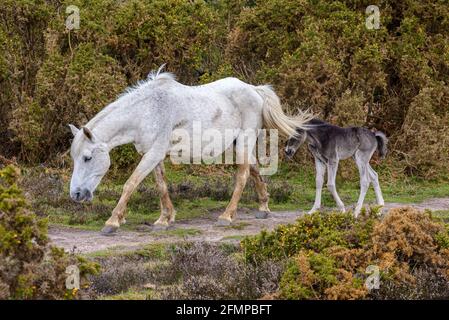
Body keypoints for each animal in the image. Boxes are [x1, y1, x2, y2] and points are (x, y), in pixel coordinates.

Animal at [68, 66, 312, 234]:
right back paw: (263, 207)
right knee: (254, 170)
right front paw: (165, 219)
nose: (76, 195)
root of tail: (253, 89)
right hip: (235, 144)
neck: (147, 111)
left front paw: (113, 221)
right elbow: (161, 186)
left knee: (242, 176)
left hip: (244, 141)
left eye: (87, 158)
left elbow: (131, 184)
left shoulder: (153, 154)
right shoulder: (153, 154)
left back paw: (227, 216)